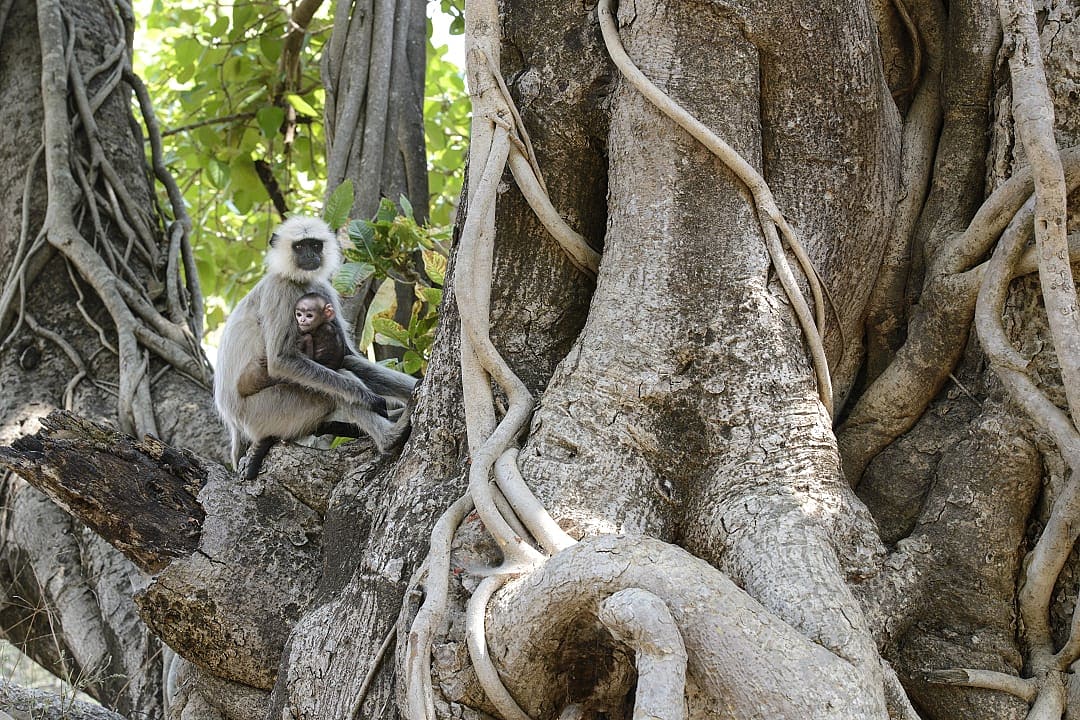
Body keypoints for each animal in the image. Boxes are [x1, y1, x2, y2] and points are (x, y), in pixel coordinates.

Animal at [214, 215, 417, 480]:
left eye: (315, 245)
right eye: (300, 246)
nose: (310, 255)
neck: (297, 280)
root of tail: (235, 424)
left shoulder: (323, 290)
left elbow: (347, 356)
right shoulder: (280, 290)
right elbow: (281, 360)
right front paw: (369, 398)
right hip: (267, 412)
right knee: (337, 386)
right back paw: (390, 437)